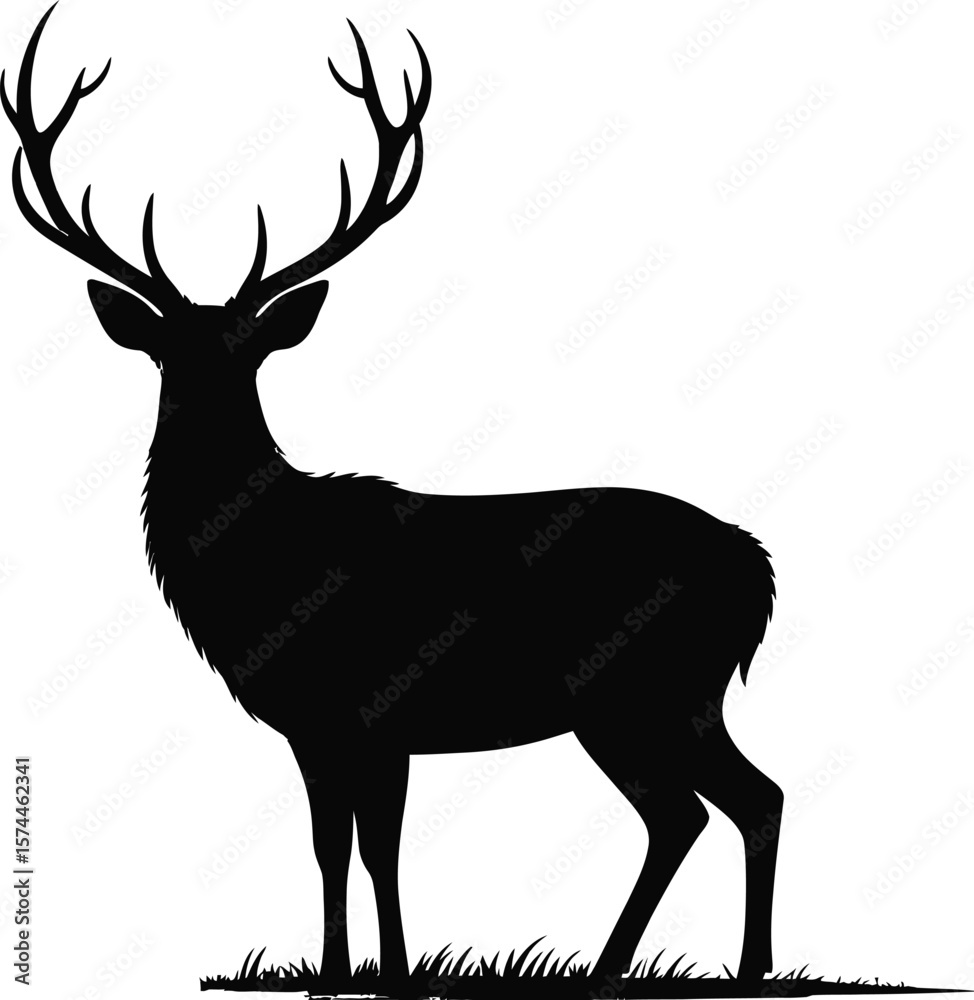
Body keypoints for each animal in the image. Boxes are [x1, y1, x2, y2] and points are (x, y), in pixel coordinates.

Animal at [4, 3, 783, 988]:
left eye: (247, 354)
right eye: (166, 354)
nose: (199, 410)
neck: (262, 574)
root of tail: (756, 569)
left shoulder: (372, 708)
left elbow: (377, 847)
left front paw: (395, 973)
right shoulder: (315, 724)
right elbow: (331, 847)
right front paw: (340, 972)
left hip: (640, 689)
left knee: (704, 807)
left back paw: (655, 969)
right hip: (670, 698)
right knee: (729, 802)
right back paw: (698, 966)